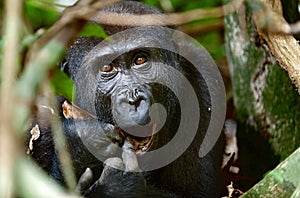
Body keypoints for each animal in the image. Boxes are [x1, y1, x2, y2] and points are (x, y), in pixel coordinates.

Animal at [28, 0, 225, 197]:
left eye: (140, 60)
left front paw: (111, 188)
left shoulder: (205, 79)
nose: (134, 101)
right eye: (107, 67)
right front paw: (82, 143)